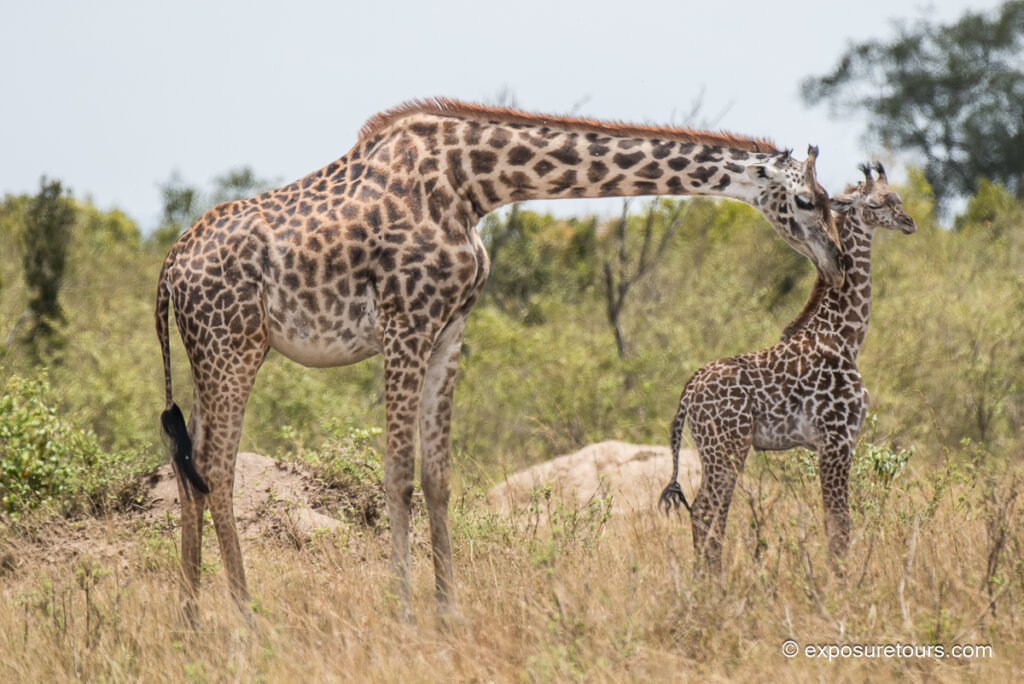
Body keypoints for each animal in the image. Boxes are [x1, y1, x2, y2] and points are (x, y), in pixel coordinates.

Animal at [155, 98, 845, 616]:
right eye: (805, 201)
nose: (836, 261)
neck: (475, 185)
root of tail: (168, 270)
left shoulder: (451, 327)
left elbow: (437, 476)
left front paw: (448, 611)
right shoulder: (406, 322)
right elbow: (398, 471)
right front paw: (405, 612)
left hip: (207, 354)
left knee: (190, 467)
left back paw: (191, 617)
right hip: (234, 345)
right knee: (217, 469)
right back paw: (245, 618)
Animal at [659, 162, 916, 573]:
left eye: (898, 198)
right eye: (876, 203)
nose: (909, 222)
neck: (845, 338)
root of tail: (688, 394)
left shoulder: (834, 443)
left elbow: (835, 523)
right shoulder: (836, 439)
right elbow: (839, 525)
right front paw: (840, 584)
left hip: (714, 450)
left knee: (706, 513)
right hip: (726, 449)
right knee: (706, 511)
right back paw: (712, 584)